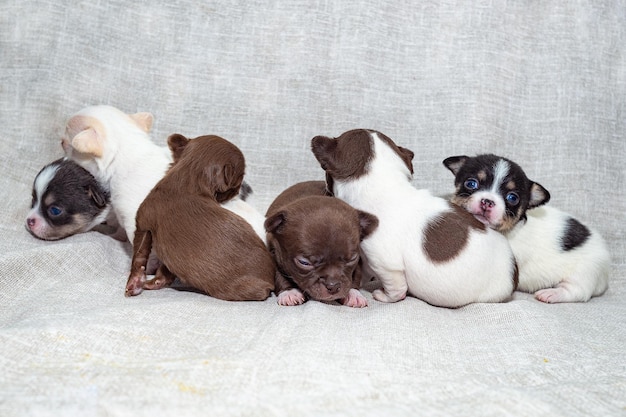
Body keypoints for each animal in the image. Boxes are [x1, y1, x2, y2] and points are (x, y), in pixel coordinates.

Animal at [124, 133, 272, 300]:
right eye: (238, 182)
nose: (239, 189)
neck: (189, 178)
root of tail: (271, 282)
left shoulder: (143, 221)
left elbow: (139, 256)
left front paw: (134, 283)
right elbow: (156, 263)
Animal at [264, 180, 376, 308]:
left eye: (352, 259)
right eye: (304, 263)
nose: (333, 286)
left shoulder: (358, 260)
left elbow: (355, 275)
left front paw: (353, 294)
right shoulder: (274, 253)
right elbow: (279, 275)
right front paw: (289, 292)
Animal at [442, 153, 608, 302]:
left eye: (512, 198)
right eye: (471, 183)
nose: (487, 201)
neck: (508, 230)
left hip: (584, 273)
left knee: (577, 292)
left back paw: (552, 294)